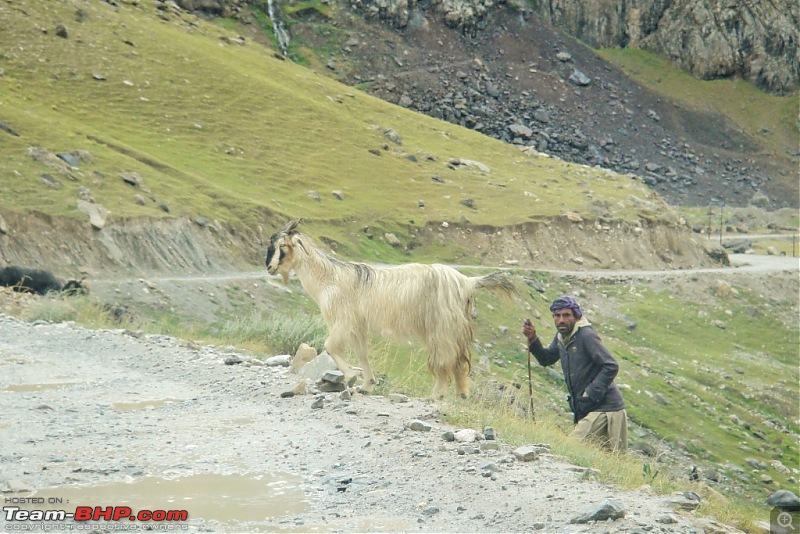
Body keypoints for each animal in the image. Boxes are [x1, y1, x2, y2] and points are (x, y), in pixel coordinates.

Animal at [262, 220, 516, 400]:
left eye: (282, 246)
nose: (269, 267)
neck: (329, 278)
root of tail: (468, 281)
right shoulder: (358, 324)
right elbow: (362, 352)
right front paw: (366, 385)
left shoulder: (342, 319)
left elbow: (330, 347)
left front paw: (351, 378)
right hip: (458, 328)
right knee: (460, 362)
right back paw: (461, 394)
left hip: (441, 328)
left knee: (444, 360)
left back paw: (436, 394)